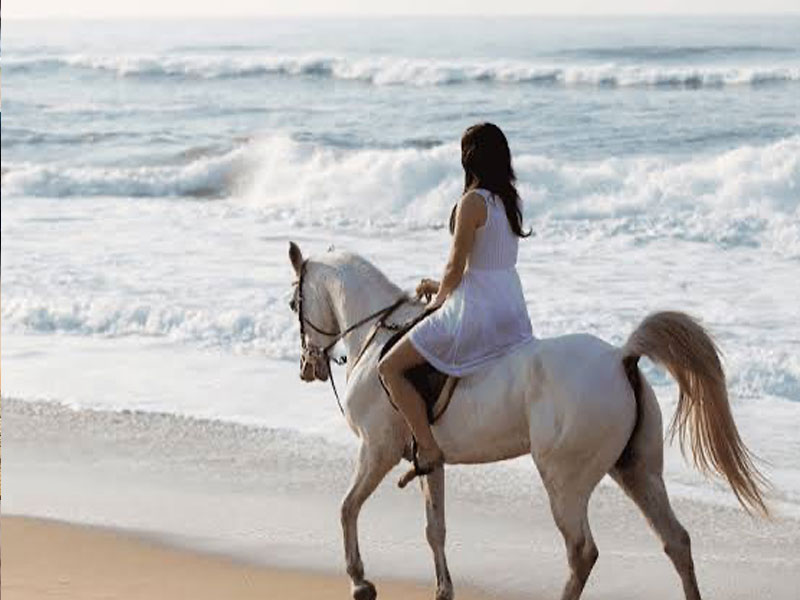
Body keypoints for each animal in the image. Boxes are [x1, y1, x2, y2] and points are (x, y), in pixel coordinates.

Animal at [286, 241, 768, 600]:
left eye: (293, 302)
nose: (308, 368)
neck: (376, 338)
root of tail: (620, 357)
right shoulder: (429, 461)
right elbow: (434, 528)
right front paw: (443, 590)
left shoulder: (377, 449)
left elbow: (347, 507)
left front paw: (359, 581)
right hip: (637, 471)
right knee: (676, 540)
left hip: (564, 480)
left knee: (582, 552)